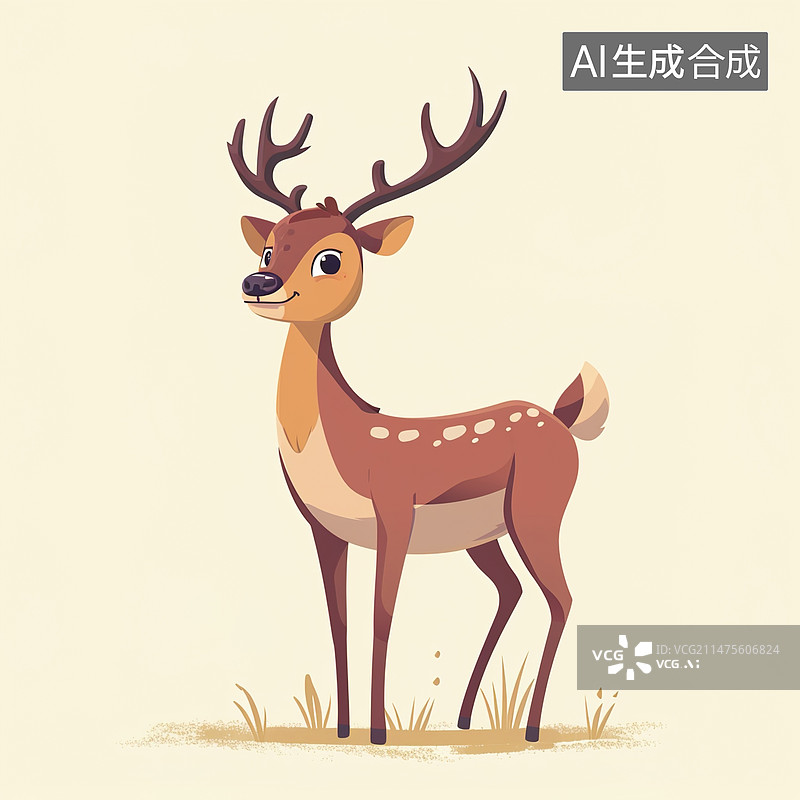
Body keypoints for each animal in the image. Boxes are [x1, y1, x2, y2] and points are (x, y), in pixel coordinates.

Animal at [228, 69, 609, 745]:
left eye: (332, 256)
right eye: (269, 247)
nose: (258, 284)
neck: (344, 444)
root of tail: (563, 420)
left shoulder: (394, 510)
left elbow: (382, 614)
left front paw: (379, 733)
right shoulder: (322, 528)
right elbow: (337, 620)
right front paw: (344, 729)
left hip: (539, 507)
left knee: (561, 596)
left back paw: (530, 727)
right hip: (486, 533)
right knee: (511, 590)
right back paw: (462, 715)